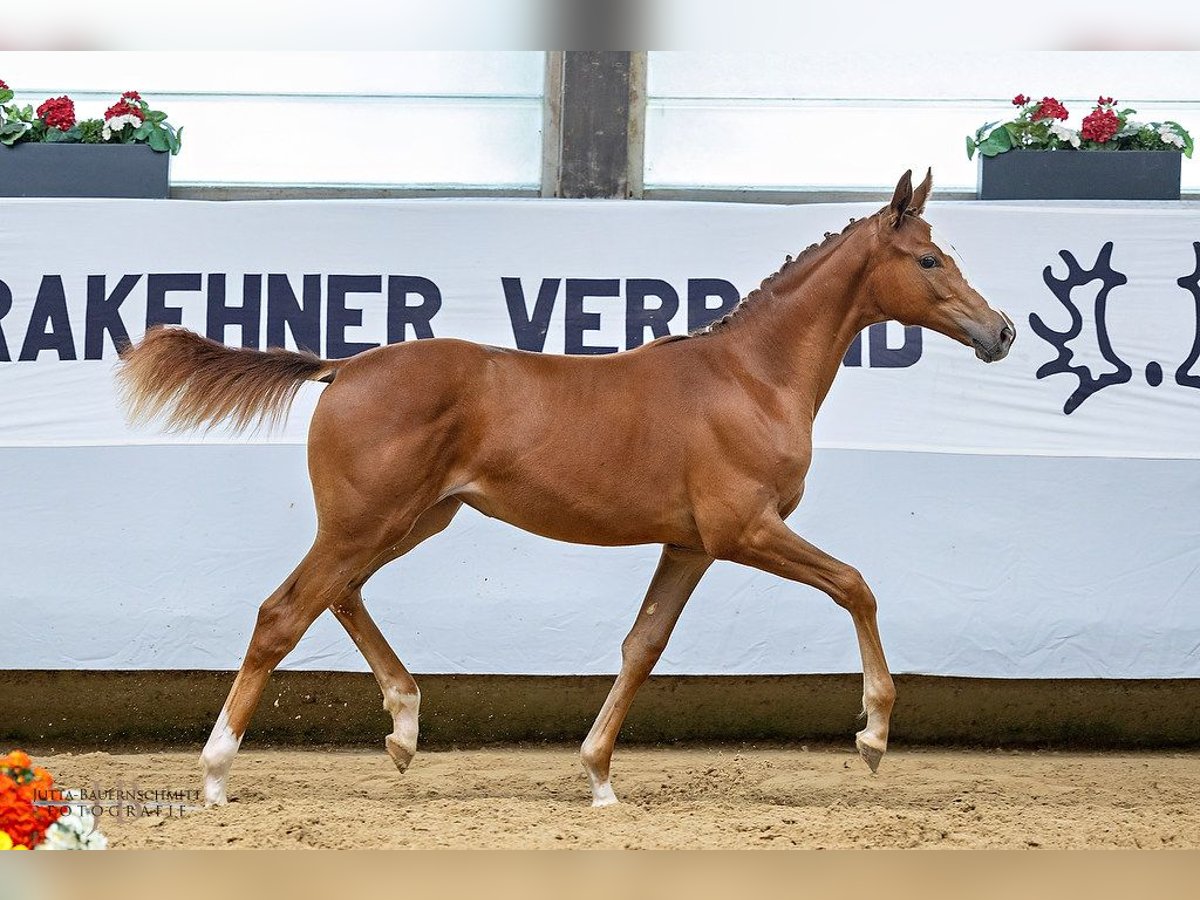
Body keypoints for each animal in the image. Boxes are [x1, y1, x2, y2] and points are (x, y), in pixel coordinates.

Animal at [119, 170, 1012, 811]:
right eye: (929, 259)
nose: (1000, 331)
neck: (751, 377)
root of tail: (346, 366)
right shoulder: (744, 531)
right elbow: (856, 586)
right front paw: (873, 736)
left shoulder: (690, 545)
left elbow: (642, 645)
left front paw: (599, 778)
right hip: (367, 522)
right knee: (283, 614)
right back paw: (216, 773)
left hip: (414, 520)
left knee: (339, 597)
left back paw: (404, 728)